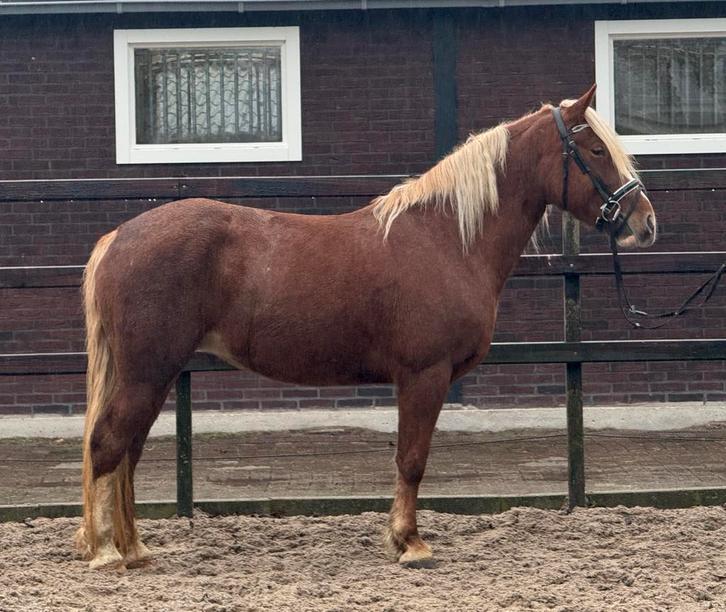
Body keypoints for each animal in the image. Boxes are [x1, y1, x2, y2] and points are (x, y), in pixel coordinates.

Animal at [76, 85, 656, 570]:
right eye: (596, 150)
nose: (645, 222)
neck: (448, 238)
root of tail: (118, 238)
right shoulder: (425, 375)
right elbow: (413, 459)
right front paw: (411, 544)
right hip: (147, 371)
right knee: (108, 444)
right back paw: (105, 552)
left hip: (154, 374)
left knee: (128, 452)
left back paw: (134, 549)